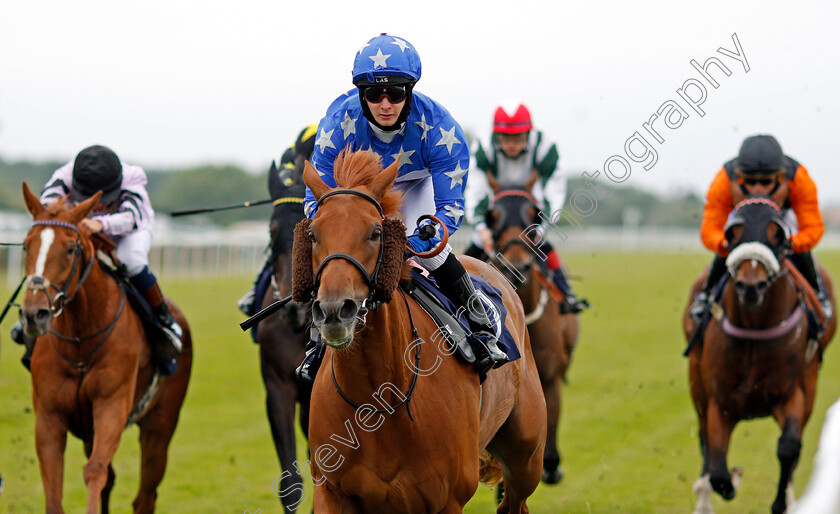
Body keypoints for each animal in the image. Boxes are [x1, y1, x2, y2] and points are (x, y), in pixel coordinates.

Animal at [18, 182, 193, 510]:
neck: (80, 343)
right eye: (26, 245)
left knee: (145, 494)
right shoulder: (49, 417)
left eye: (70, 248)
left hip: (160, 426)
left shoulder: (111, 404)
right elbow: (55, 493)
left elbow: (95, 471)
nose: (35, 314)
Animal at [294, 150, 544, 510]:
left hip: (527, 458)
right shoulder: (332, 492)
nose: (334, 310)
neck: (379, 400)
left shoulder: (448, 499)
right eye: (313, 234)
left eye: (375, 232)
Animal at [684, 197, 836, 512]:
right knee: (705, 441)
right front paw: (728, 480)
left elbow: (789, 447)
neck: (754, 331)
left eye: (778, 235)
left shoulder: (792, 393)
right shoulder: (718, 402)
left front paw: (781, 502)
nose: (751, 286)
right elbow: (717, 467)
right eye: (732, 234)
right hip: (696, 382)